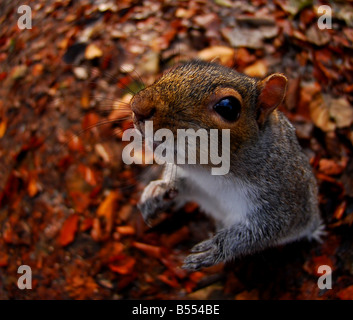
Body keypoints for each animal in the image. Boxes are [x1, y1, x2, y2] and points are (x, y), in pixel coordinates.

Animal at [129, 60, 322, 270]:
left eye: (228, 107)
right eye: (176, 69)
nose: (137, 106)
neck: (211, 175)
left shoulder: (283, 202)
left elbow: (268, 229)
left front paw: (218, 247)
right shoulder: (194, 181)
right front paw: (158, 191)